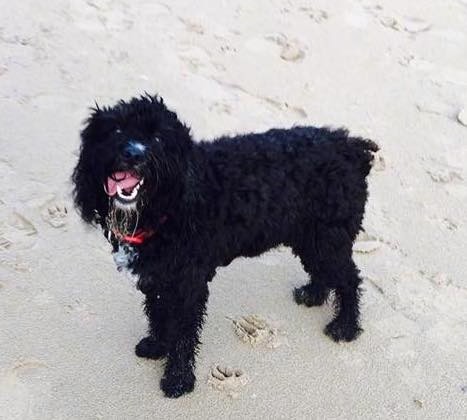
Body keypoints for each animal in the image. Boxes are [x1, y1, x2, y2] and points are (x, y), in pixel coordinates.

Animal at [73, 94, 380, 398]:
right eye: (116, 130)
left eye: (158, 137)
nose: (133, 154)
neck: (168, 206)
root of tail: (351, 147)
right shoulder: (157, 277)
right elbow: (159, 314)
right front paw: (157, 346)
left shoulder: (187, 285)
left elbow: (182, 333)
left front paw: (178, 379)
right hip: (310, 238)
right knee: (325, 272)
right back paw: (313, 294)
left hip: (328, 238)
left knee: (350, 279)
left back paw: (345, 326)